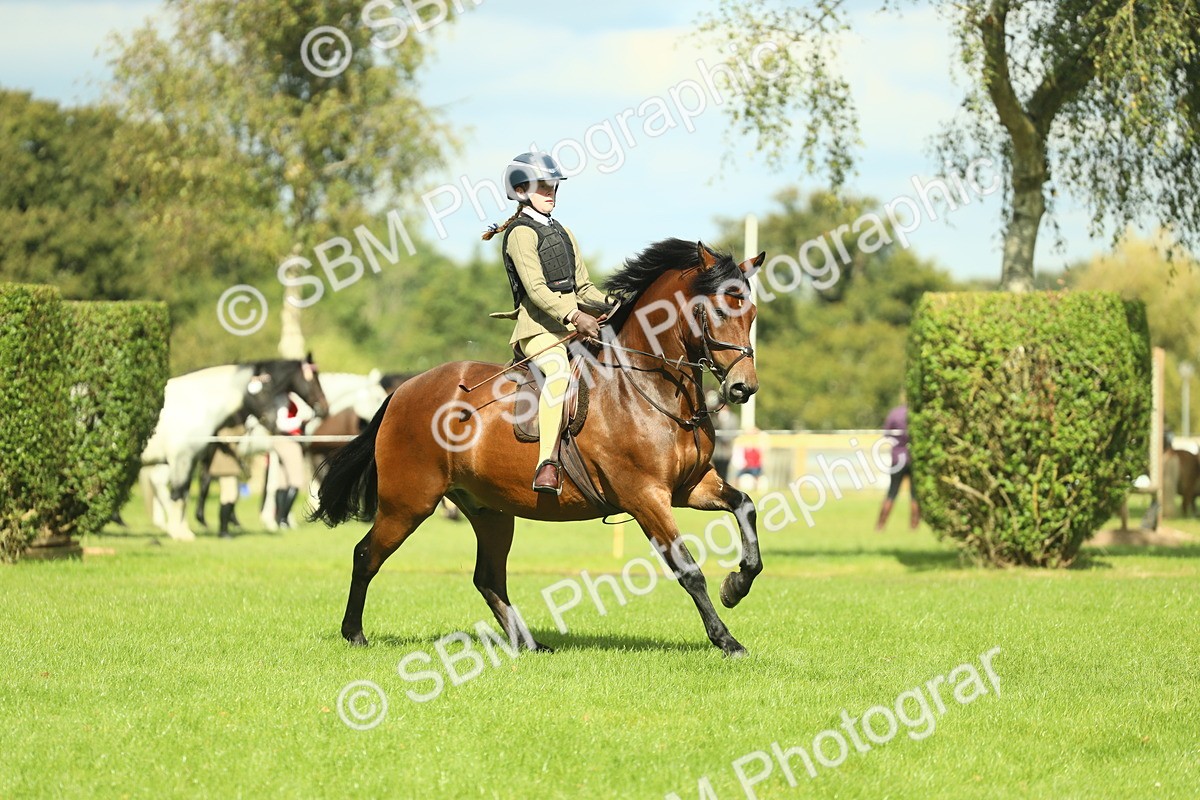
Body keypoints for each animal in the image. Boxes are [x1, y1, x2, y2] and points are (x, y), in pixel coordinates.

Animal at [140, 356, 329, 540]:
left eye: (269, 388)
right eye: (313, 379)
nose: (323, 408)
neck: (194, 405)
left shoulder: (193, 459)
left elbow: (187, 493)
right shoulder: (182, 458)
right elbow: (180, 493)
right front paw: (180, 533)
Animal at [312, 239, 766, 657]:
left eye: (752, 314)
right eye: (720, 311)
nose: (743, 388)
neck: (648, 388)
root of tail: (404, 389)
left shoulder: (691, 486)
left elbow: (745, 506)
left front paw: (737, 584)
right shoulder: (646, 498)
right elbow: (688, 570)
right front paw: (727, 640)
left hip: (489, 510)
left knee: (488, 578)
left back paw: (527, 643)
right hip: (408, 504)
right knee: (366, 555)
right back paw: (354, 633)